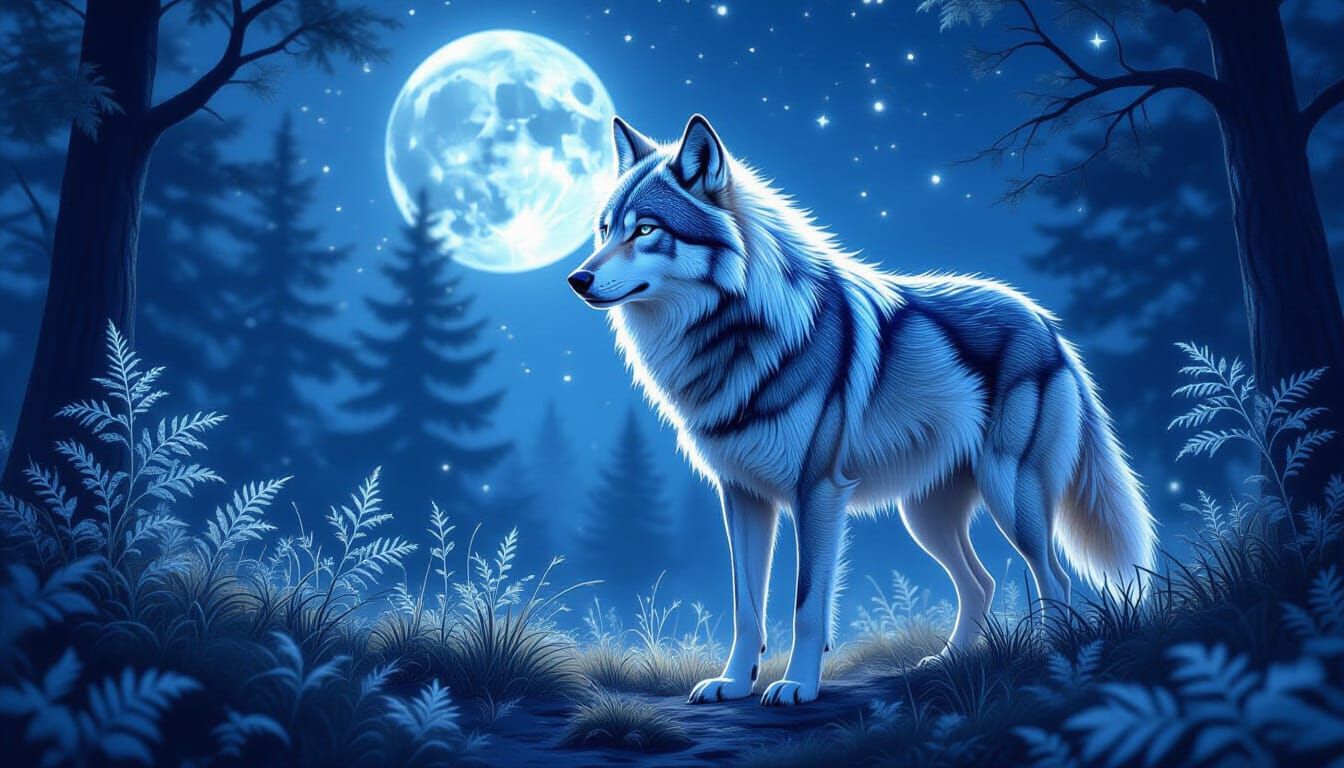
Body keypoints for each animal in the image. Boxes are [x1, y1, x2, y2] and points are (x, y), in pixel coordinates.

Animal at [567, 114, 1155, 707]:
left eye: (645, 230)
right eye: (605, 230)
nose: (577, 279)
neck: (735, 336)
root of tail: (1047, 323)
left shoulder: (818, 492)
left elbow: (807, 605)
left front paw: (798, 685)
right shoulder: (741, 496)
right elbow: (746, 608)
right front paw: (733, 683)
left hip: (1011, 498)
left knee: (1055, 578)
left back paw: (1050, 666)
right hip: (926, 517)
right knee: (982, 583)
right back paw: (949, 661)